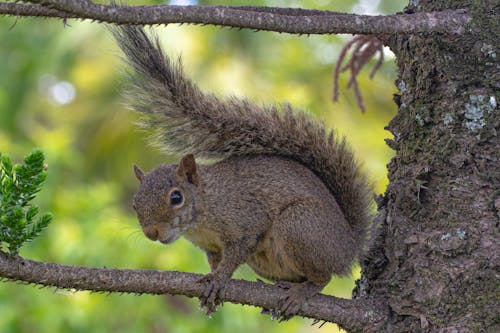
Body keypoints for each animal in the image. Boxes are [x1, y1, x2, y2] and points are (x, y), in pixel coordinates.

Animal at [111, 26, 374, 320]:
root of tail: (349, 246)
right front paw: (212, 286)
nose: (151, 232)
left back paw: (301, 292)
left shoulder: (245, 219)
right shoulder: (211, 247)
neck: (205, 208)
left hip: (299, 226)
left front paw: (219, 279)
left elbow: (236, 252)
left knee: (322, 276)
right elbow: (216, 262)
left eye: (176, 197)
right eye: (135, 204)